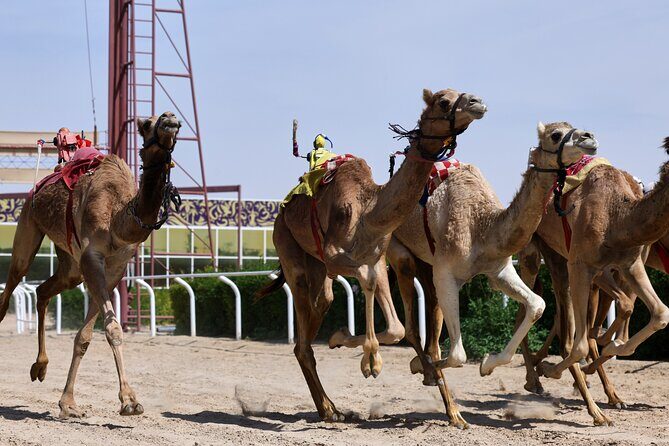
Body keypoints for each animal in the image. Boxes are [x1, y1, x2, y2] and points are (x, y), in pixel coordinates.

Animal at [0, 112, 181, 418]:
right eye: (145, 124)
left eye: (175, 122)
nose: (170, 119)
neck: (119, 217)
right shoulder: (91, 258)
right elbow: (112, 328)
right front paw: (128, 400)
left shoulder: (114, 267)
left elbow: (86, 335)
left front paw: (69, 404)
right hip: (28, 224)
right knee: (12, 281)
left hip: (69, 264)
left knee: (43, 291)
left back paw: (40, 367)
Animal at [256, 88, 487, 425]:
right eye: (443, 100)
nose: (477, 103)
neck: (370, 211)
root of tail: (283, 211)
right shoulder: (336, 254)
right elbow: (366, 282)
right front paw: (367, 360)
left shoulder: (378, 257)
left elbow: (397, 325)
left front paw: (346, 341)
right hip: (288, 245)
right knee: (302, 330)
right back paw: (329, 408)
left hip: (318, 266)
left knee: (321, 304)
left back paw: (331, 408)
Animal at [514, 137, 669, 425]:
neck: (619, 215)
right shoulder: (582, 265)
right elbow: (580, 344)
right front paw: (551, 369)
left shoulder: (630, 264)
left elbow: (660, 313)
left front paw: (614, 346)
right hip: (534, 251)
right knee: (534, 313)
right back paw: (537, 379)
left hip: (561, 258)